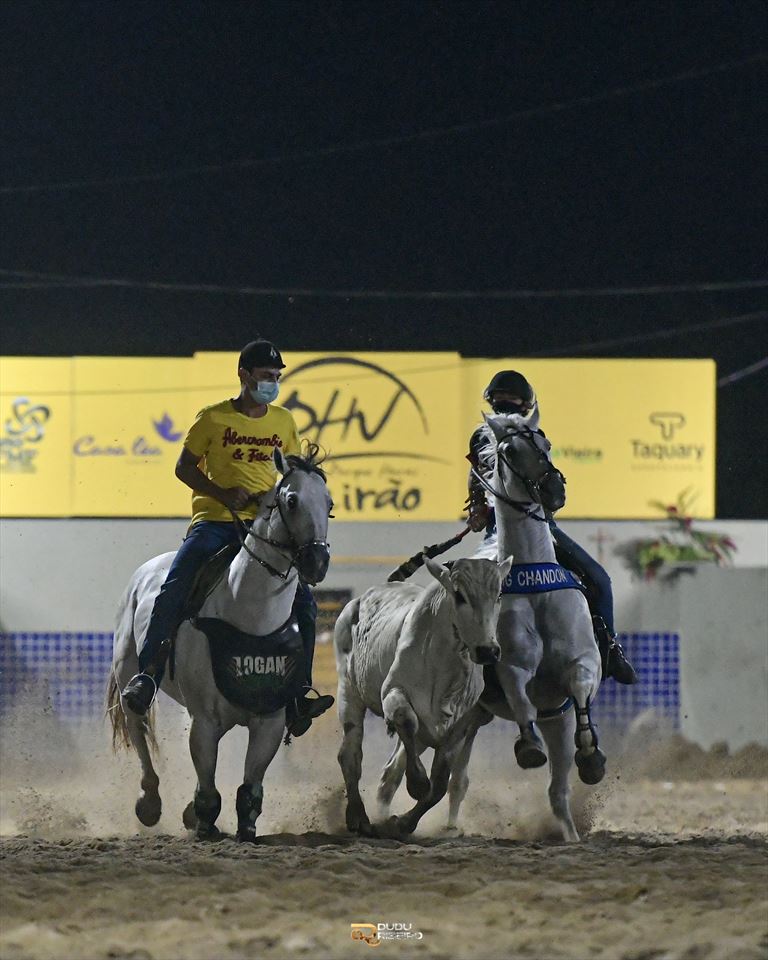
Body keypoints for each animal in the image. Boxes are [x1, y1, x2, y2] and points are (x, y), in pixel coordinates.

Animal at [334, 554, 513, 837]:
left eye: (498, 594)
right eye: (459, 595)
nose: (488, 650)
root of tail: (358, 602)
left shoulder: (462, 725)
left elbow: (439, 784)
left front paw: (404, 822)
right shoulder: (393, 693)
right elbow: (406, 720)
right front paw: (417, 784)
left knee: (390, 774)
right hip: (348, 693)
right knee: (350, 756)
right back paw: (358, 816)